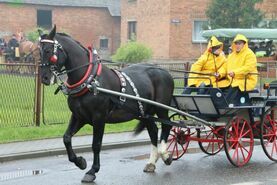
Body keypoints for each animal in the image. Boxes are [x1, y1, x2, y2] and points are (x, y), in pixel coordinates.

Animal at [38, 25, 172, 183]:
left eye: (48, 50)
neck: (90, 80)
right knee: (153, 131)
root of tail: (164, 70)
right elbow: (66, 138)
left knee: (167, 126)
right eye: (39, 52)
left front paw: (92, 171)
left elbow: (96, 144)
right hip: (145, 113)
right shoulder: (79, 116)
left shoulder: (99, 117)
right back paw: (151, 162)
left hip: (161, 108)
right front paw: (80, 162)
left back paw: (165, 154)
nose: (44, 78)